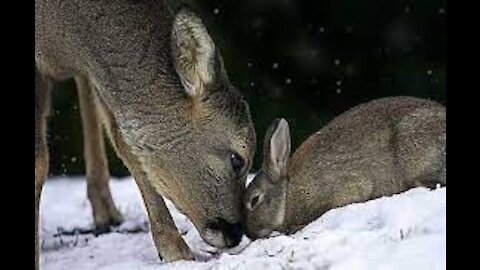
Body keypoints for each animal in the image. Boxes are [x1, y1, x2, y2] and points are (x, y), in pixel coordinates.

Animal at [35, 0, 256, 266]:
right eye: (237, 159)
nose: (235, 232)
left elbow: (125, 141)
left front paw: (174, 249)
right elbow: (39, 161)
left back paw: (106, 211)